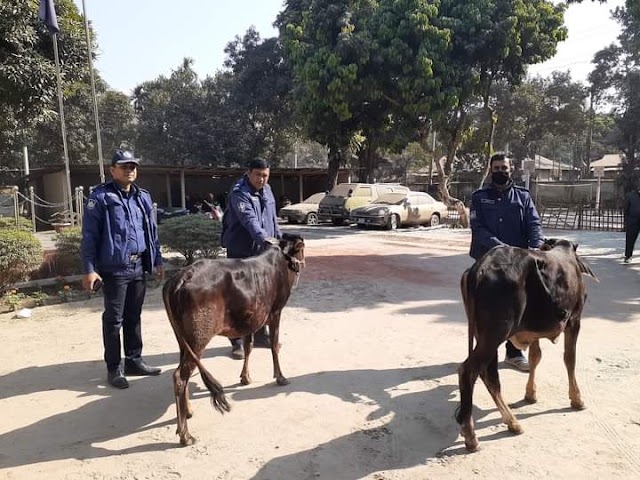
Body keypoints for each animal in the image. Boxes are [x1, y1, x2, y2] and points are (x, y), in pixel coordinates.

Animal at [164, 232, 306, 446]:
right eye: (302, 248)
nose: (304, 262)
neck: (280, 259)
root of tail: (182, 276)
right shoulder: (275, 311)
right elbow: (274, 345)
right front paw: (280, 377)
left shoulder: (249, 317)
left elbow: (249, 346)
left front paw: (245, 377)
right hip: (199, 338)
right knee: (180, 376)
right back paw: (185, 435)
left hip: (183, 339)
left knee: (185, 372)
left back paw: (188, 411)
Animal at [456, 238, 596, 452]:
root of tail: (479, 269)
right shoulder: (575, 319)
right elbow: (569, 359)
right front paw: (577, 398)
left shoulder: (534, 331)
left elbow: (535, 358)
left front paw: (530, 394)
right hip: (494, 334)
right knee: (469, 370)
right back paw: (472, 436)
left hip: (484, 335)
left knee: (488, 375)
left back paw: (511, 422)